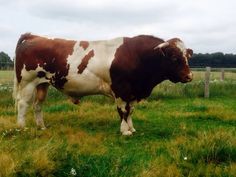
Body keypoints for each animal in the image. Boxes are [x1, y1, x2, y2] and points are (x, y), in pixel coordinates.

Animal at [12, 33, 193, 136]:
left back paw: (41, 126)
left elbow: (131, 110)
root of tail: (34, 36)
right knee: (23, 104)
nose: (189, 76)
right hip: (28, 82)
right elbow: (123, 111)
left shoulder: (133, 92)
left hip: (42, 84)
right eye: (174, 57)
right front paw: (125, 131)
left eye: (187, 56)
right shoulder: (121, 90)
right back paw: (22, 127)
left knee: (37, 105)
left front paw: (132, 128)